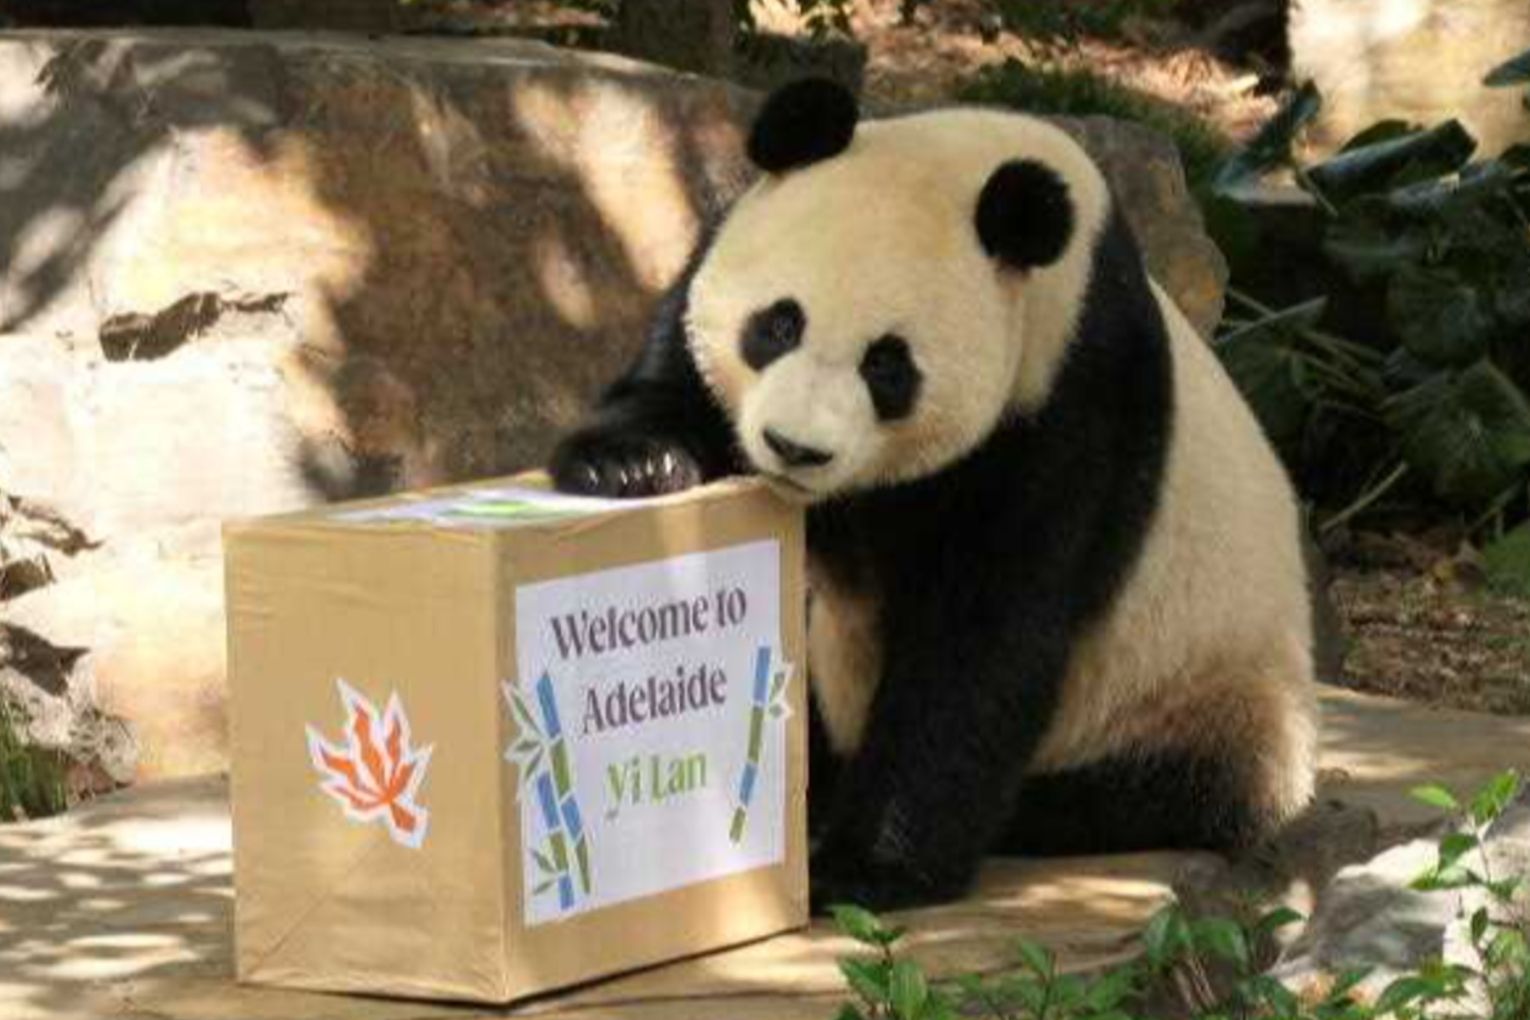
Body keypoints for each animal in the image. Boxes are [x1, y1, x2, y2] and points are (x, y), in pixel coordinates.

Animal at [548, 78, 1318, 912]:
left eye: (888, 367)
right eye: (778, 324)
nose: (793, 448)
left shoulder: (1075, 405)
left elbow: (985, 637)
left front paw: (863, 866)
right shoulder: (714, 256)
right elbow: (674, 386)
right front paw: (629, 468)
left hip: (1201, 692)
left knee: (1157, 784)